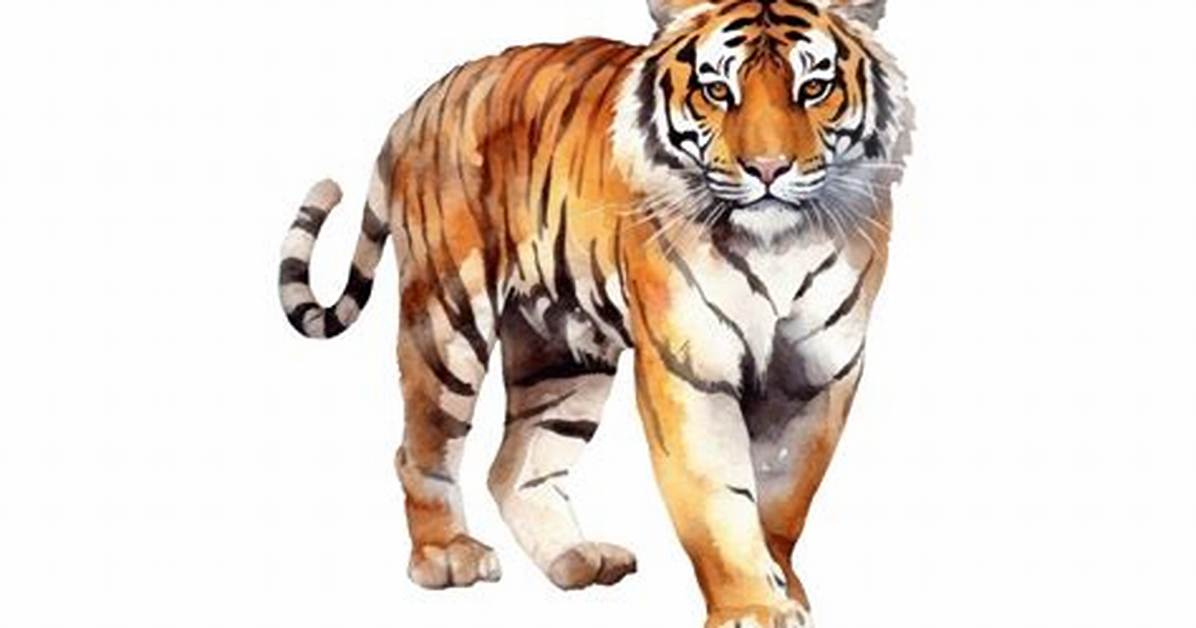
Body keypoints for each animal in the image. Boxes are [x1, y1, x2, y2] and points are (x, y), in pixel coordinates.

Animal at [276, 0, 911, 625]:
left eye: (814, 87)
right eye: (716, 90)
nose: (768, 169)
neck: (779, 243)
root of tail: (419, 105)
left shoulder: (817, 370)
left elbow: (785, 494)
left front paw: (783, 584)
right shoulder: (689, 364)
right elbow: (717, 495)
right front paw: (752, 606)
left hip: (561, 352)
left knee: (514, 468)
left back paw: (576, 558)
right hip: (448, 319)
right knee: (422, 448)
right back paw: (448, 554)